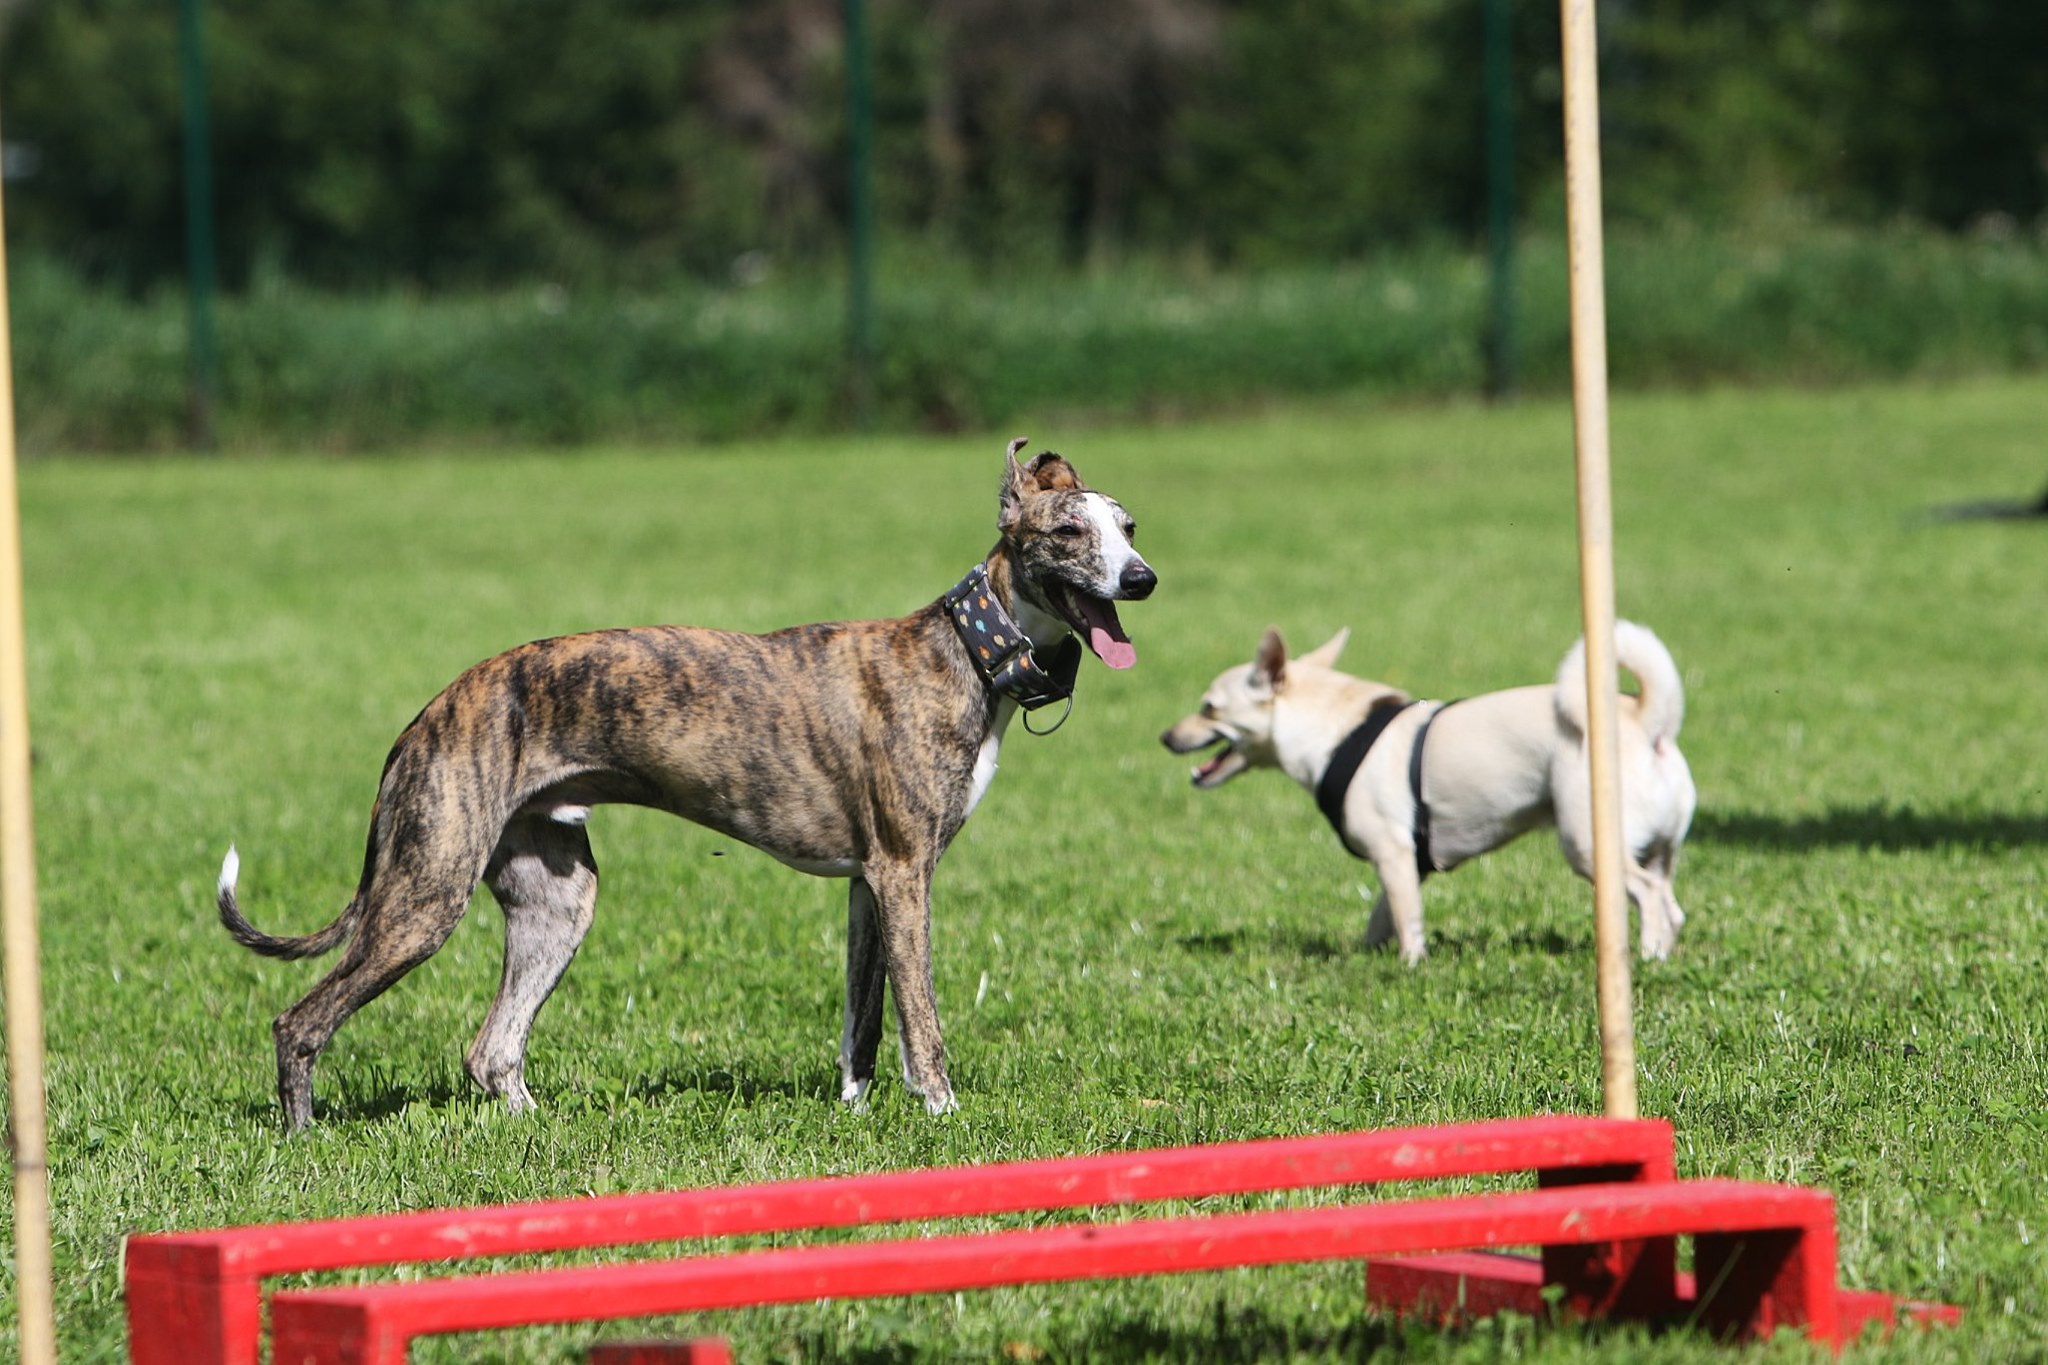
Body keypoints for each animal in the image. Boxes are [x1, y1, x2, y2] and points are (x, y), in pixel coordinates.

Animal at [1171, 626, 1695, 961]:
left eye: (1208, 708)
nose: (1165, 735)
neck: (1337, 729)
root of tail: (1646, 721)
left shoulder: (1393, 853)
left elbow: (1406, 921)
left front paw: (1410, 967)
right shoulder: (1407, 862)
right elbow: (1385, 914)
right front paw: (1369, 954)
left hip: (1587, 844)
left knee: (1648, 895)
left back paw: (1647, 955)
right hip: (1660, 850)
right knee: (1672, 905)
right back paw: (1663, 954)